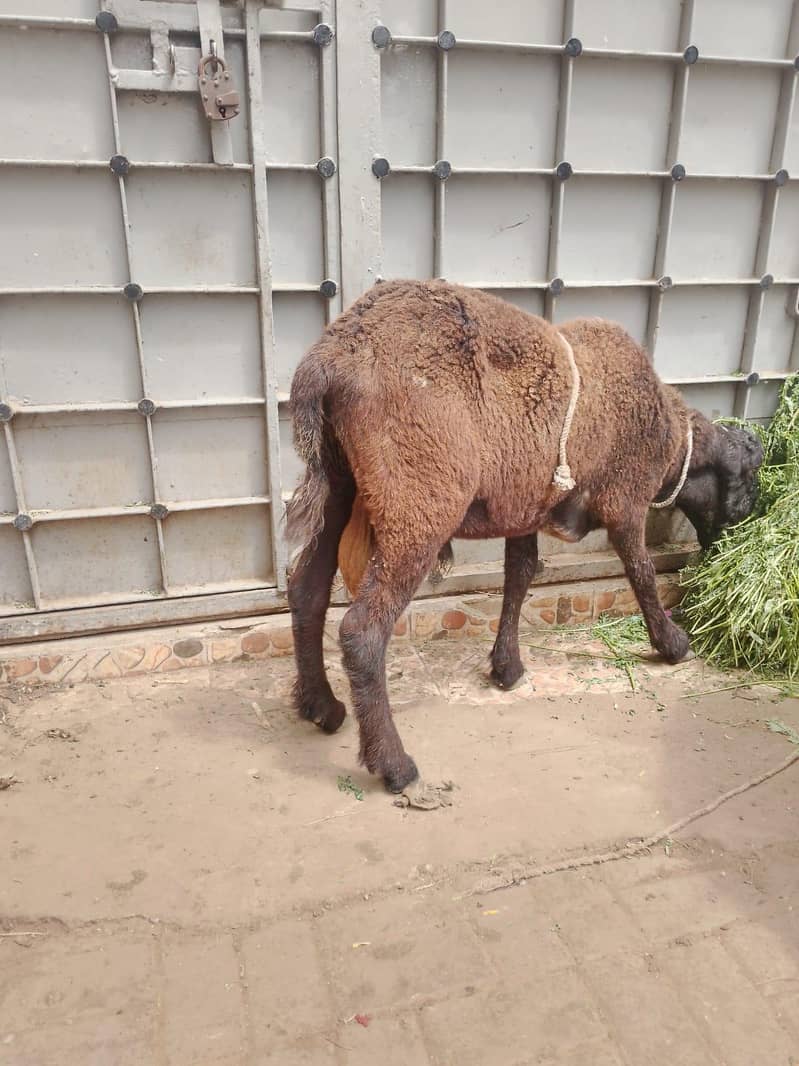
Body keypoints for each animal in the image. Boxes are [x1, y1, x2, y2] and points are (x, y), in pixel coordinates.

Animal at [285, 279, 763, 793]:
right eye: (748, 482)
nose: (728, 543)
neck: (671, 442)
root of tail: (332, 356)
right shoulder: (626, 501)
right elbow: (642, 574)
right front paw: (673, 645)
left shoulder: (525, 508)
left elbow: (520, 576)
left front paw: (507, 667)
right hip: (417, 499)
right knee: (362, 631)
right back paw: (395, 765)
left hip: (339, 483)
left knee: (307, 591)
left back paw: (320, 706)